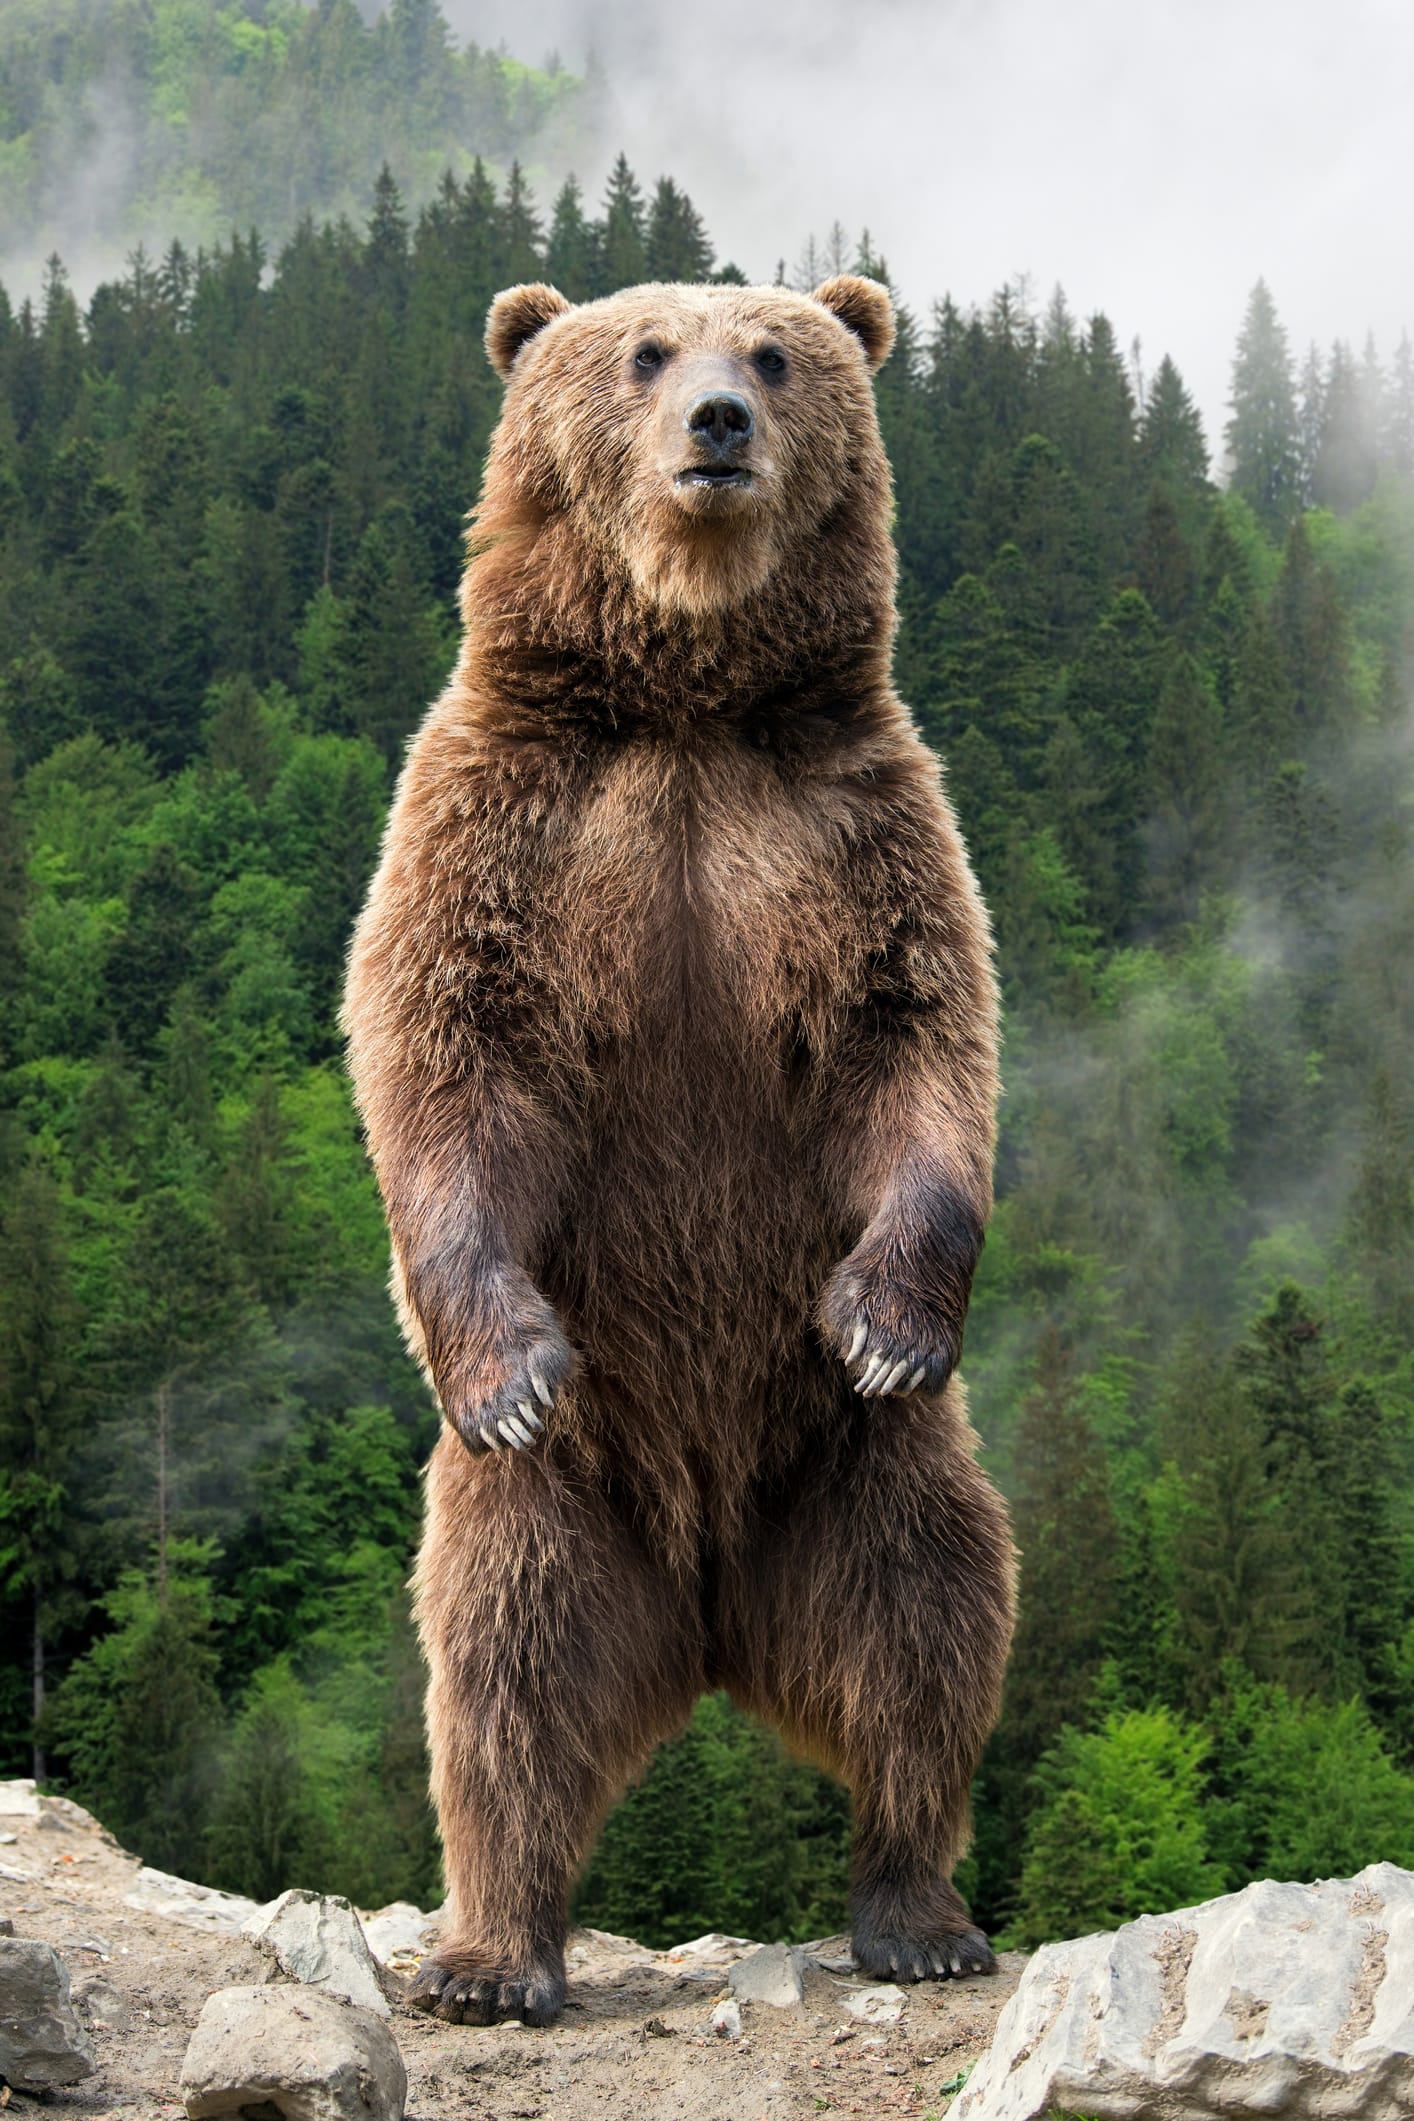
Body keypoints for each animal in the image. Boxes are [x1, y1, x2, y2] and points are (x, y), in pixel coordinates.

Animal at [342, 273, 1015, 2028]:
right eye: (644, 351)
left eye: (774, 354)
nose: (716, 421)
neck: (687, 702)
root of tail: (709, 1618)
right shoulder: (505, 821)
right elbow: (446, 1055)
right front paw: (504, 1363)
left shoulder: (855, 827)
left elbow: (917, 1045)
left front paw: (885, 1318)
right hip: (564, 1502)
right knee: (501, 1678)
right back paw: (491, 1955)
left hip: (854, 1469)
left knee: (927, 1625)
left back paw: (917, 1910)